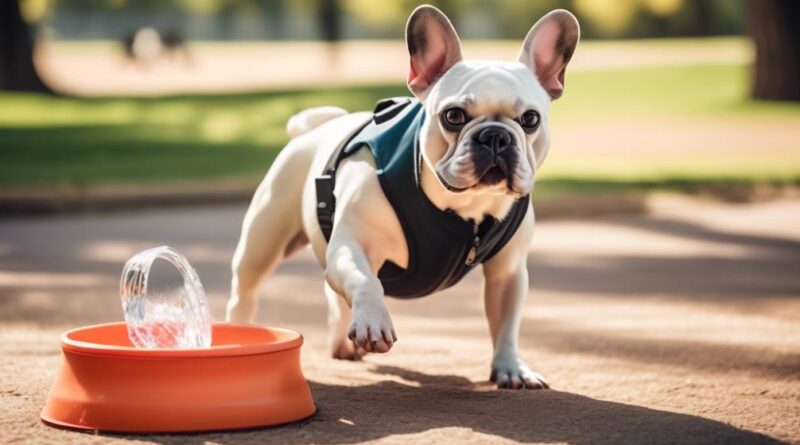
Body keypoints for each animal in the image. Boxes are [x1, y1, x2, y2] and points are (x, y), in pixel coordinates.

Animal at [228, 4, 580, 388]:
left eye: (530, 119)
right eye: (453, 116)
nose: (495, 136)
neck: (464, 206)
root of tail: (315, 127)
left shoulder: (508, 270)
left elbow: (506, 321)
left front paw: (511, 367)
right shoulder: (353, 246)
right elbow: (364, 280)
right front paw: (373, 321)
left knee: (334, 297)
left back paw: (342, 344)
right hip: (262, 241)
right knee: (246, 289)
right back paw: (241, 335)